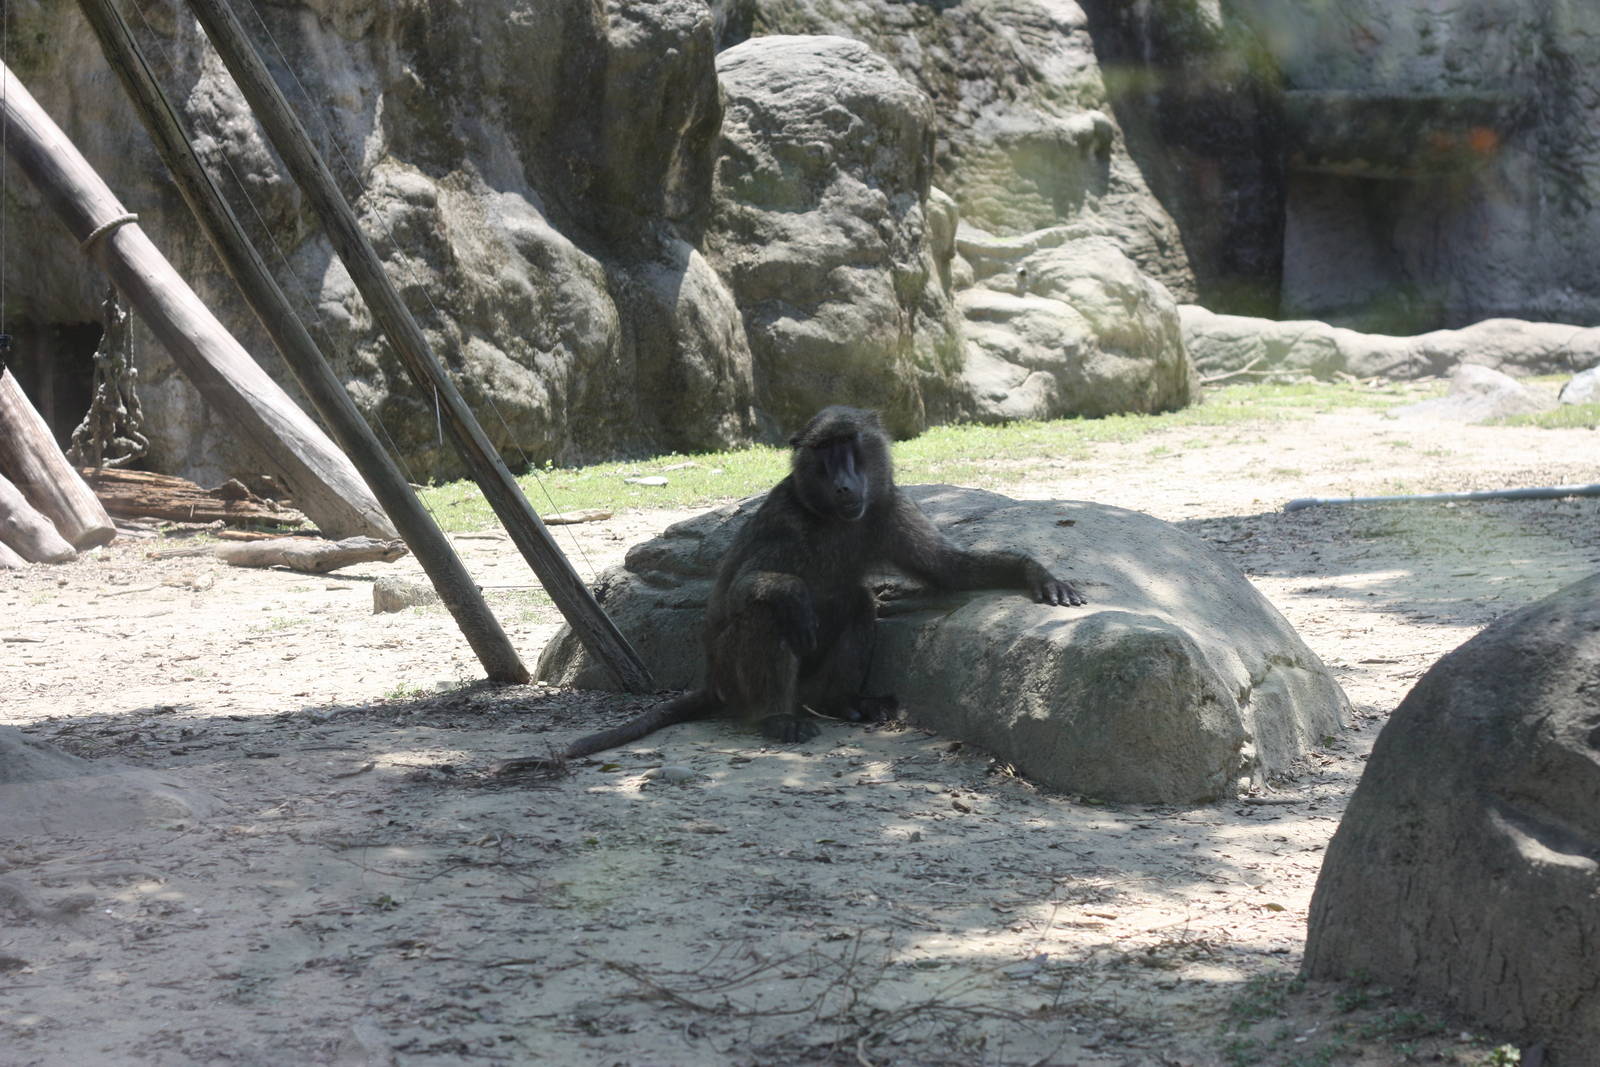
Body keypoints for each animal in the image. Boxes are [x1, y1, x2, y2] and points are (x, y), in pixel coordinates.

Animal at [498, 406, 1086, 772]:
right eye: (824, 453)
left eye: (850, 447)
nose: (846, 485)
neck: (829, 518)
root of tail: (712, 683)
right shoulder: (782, 518)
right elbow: (740, 592)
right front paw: (793, 596)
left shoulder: (885, 507)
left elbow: (948, 570)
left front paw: (1037, 575)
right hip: (734, 676)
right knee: (767, 615)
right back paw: (778, 716)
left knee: (857, 603)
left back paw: (842, 703)